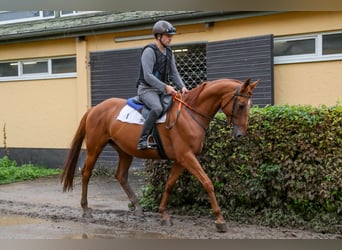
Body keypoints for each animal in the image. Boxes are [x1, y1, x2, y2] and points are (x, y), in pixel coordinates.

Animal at [61, 77, 258, 232]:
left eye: (250, 105)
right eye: (241, 105)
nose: (240, 135)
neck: (190, 113)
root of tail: (95, 108)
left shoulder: (181, 159)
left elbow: (169, 184)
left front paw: (163, 214)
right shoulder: (187, 156)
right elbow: (207, 182)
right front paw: (219, 220)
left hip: (124, 151)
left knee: (121, 176)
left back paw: (138, 209)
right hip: (95, 147)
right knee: (86, 173)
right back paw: (86, 209)